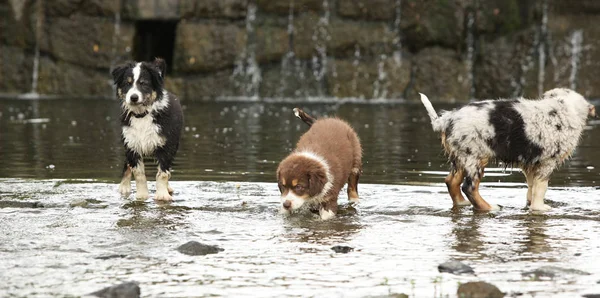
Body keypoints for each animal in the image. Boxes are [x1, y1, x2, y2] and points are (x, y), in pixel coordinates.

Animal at [111, 57, 183, 203]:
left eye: (143, 83)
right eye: (127, 83)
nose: (133, 97)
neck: (142, 114)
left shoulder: (166, 147)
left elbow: (162, 174)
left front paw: (162, 196)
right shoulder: (132, 145)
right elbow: (138, 173)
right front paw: (142, 196)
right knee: (127, 165)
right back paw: (124, 188)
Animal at [422, 88, 596, 212]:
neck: (562, 107)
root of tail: (446, 119)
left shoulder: (530, 164)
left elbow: (531, 186)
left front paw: (530, 203)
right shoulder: (547, 163)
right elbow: (541, 187)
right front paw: (540, 208)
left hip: (460, 157)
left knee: (451, 181)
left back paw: (462, 203)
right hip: (475, 158)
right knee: (469, 187)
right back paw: (489, 207)